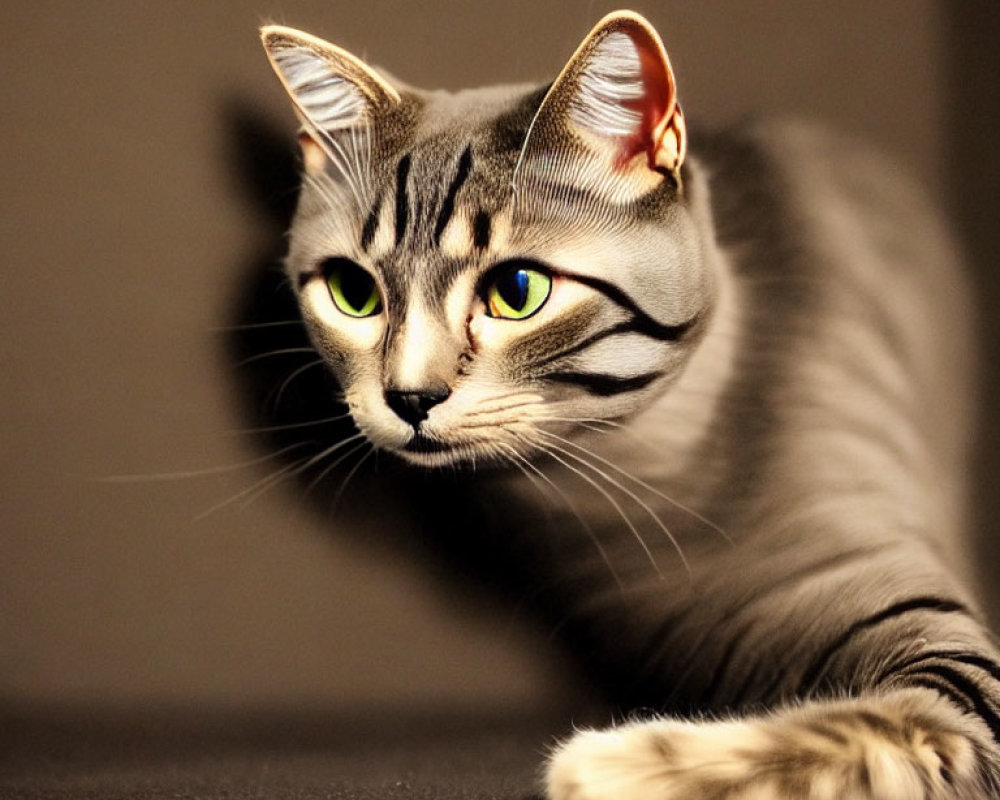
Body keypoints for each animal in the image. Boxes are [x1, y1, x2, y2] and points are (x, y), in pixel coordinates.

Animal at [256, 9, 1000, 796]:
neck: (653, 467)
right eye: (354, 293)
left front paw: (621, 762)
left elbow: (898, 730)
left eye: (516, 291)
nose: (410, 396)